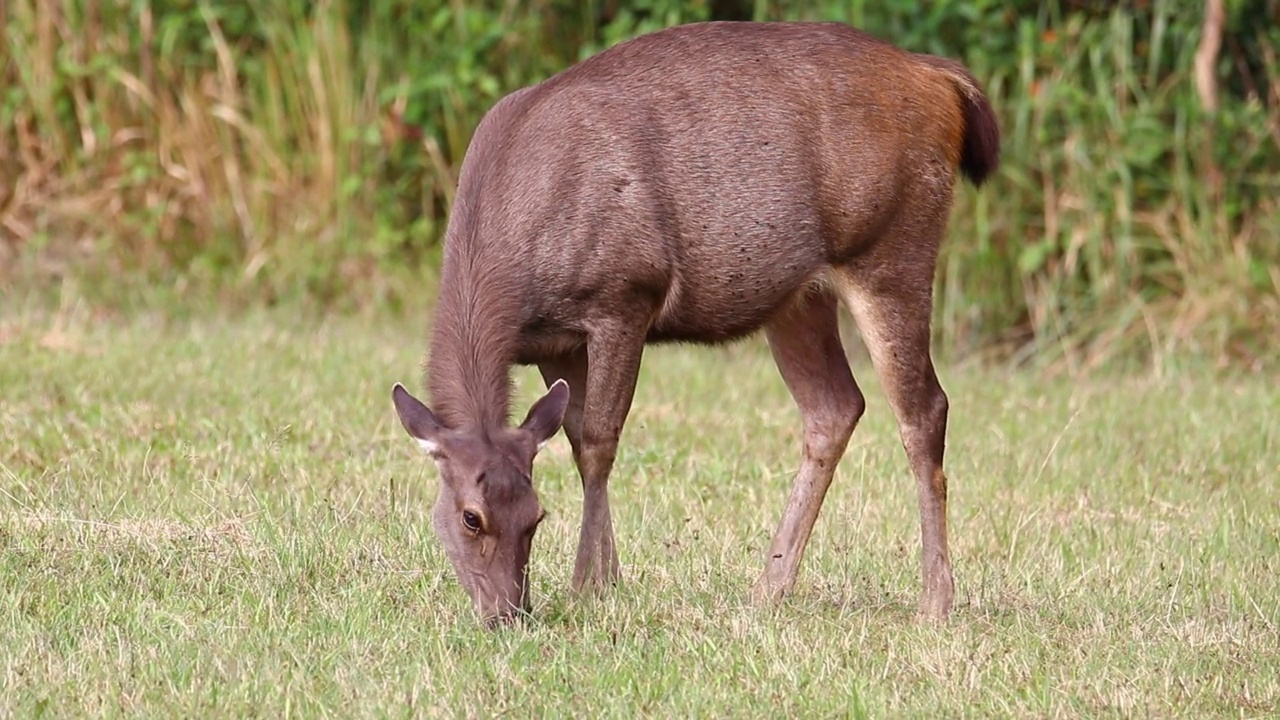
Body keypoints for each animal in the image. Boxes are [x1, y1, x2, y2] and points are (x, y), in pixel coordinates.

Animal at [389, 19, 998, 625]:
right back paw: (769, 586)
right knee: (835, 406)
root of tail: (942, 78)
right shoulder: (553, 343)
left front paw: (589, 586)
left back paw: (934, 601)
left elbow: (599, 442)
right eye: (470, 516)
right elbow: (577, 437)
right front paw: (610, 577)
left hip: (891, 248)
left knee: (923, 409)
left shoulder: (624, 294)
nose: (508, 613)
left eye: (536, 516)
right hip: (799, 297)